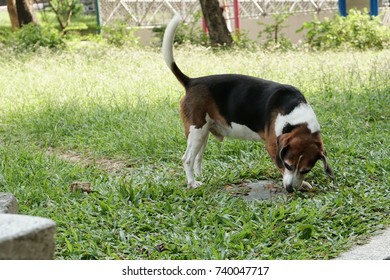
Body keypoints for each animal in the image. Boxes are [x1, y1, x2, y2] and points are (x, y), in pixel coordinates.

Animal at [163, 13, 334, 192]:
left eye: (306, 170)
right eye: (288, 165)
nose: (290, 189)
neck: (296, 117)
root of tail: (191, 81)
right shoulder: (272, 146)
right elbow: (278, 163)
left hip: (203, 133)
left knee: (197, 158)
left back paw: (200, 176)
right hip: (197, 130)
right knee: (187, 159)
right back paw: (192, 183)